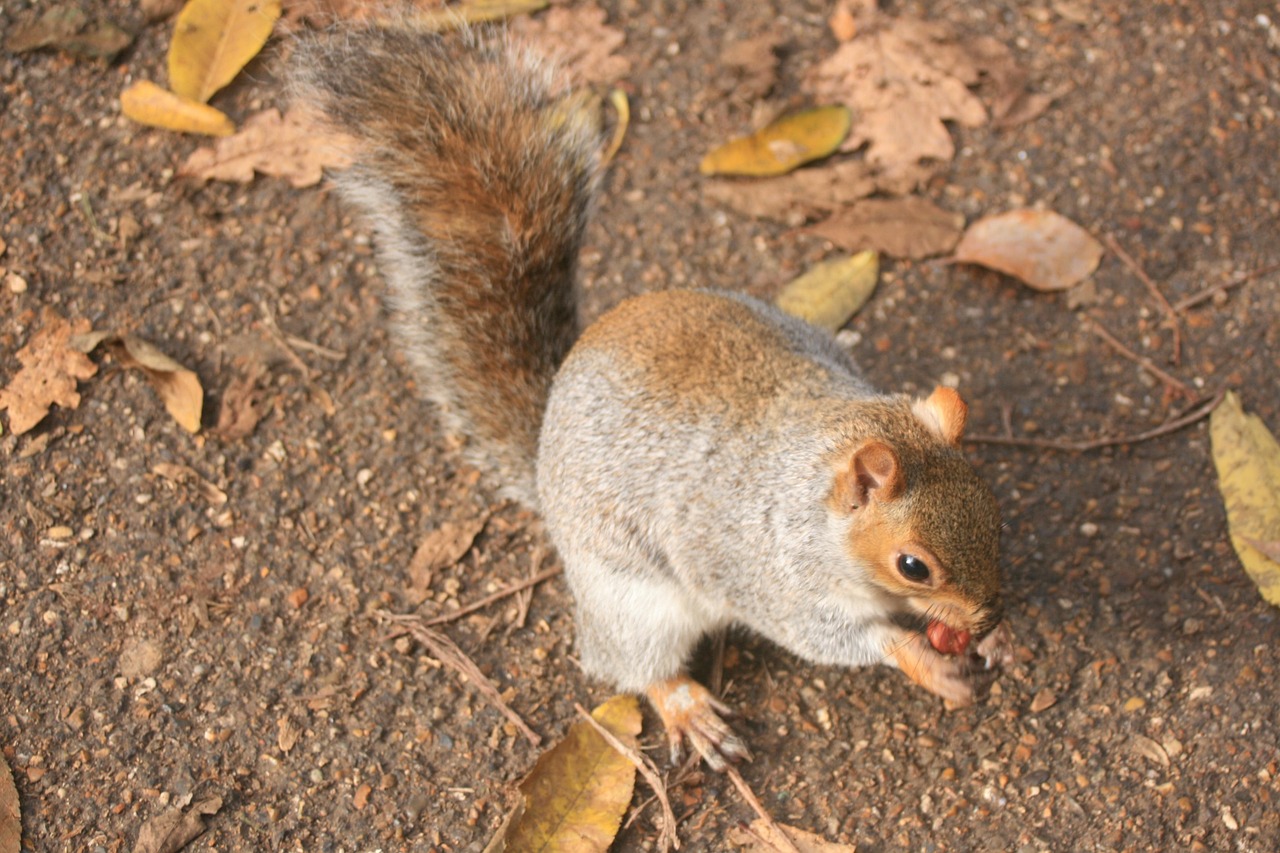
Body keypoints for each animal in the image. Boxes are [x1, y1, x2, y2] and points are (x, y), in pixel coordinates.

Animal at [293, 22, 1014, 768]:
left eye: (992, 508)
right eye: (913, 566)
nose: (989, 612)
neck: (816, 481)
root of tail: (544, 448)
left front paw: (997, 640)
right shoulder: (771, 577)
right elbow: (834, 636)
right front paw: (924, 659)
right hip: (631, 600)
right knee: (630, 663)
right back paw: (687, 707)